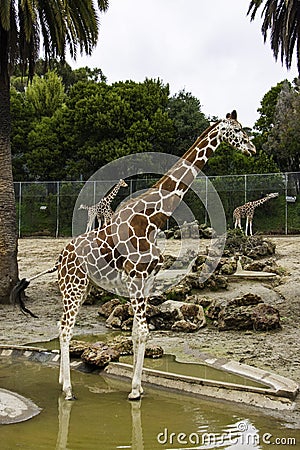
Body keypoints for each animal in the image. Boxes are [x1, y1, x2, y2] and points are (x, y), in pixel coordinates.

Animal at [11, 110, 255, 400]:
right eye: (237, 130)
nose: (252, 149)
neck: (152, 219)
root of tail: (59, 259)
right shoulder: (135, 279)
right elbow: (143, 330)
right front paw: (135, 392)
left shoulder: (147, 280)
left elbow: (141, 333)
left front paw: (138, 387)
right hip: (74, 286)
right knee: (66, 328)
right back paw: (68, 390)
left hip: (80, 288)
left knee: (62, 325)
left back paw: (61, 380)